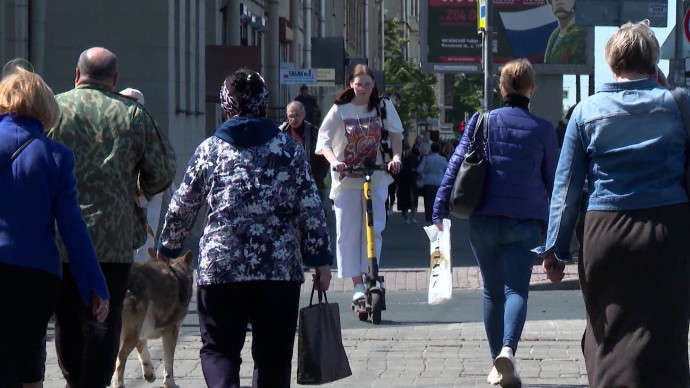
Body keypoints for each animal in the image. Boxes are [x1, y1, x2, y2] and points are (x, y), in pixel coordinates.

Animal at [110, 249, 192, 388]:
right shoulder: (171, 330)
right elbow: (169, 361)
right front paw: (170, 383)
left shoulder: (140, 332)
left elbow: (144, 352)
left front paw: (149, 374)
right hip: (130, 334)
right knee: (120, 358)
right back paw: (118, 383)